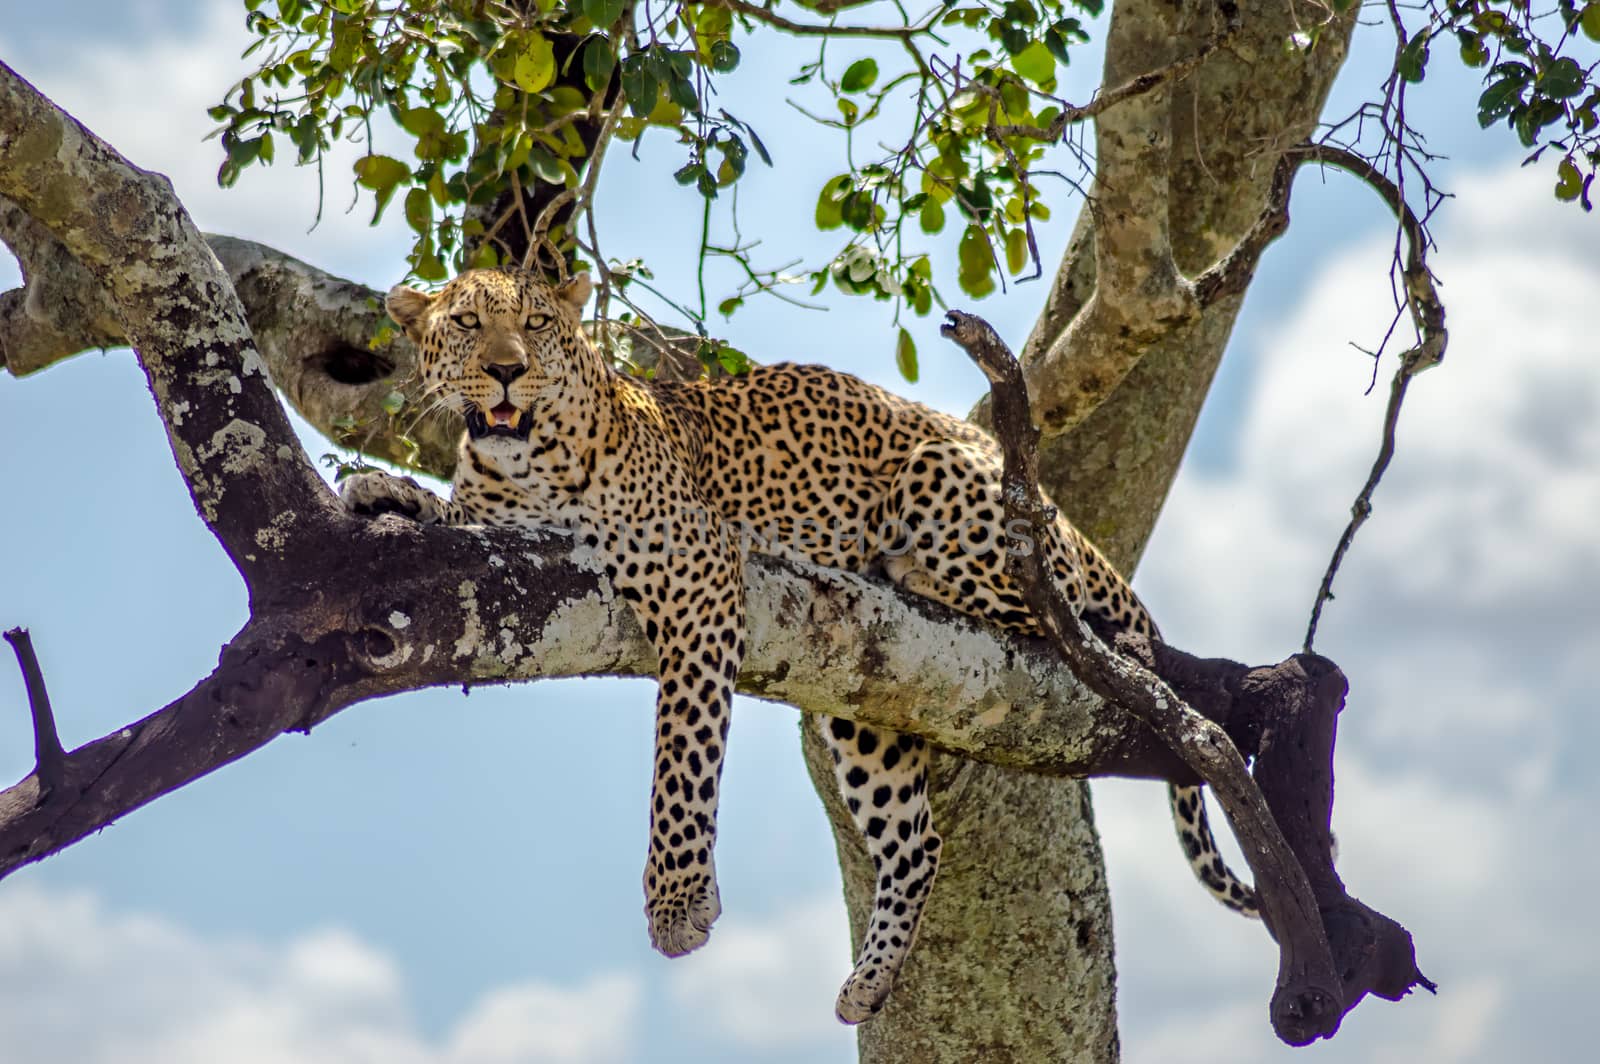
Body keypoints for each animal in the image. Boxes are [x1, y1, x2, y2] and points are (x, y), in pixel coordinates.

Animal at [340, 264, 1260, 1024]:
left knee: (1070, 620)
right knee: (916, 840)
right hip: (866, 696)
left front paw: (676, 904)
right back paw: (871, 982)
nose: (505, 369)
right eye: (467, 325)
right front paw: (384, 489)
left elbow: (682, 756)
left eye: (534, 324)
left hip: (948, 492)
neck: (525, 464)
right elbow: (451, 509)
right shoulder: (497, 517)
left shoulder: (699, 574)